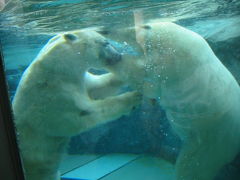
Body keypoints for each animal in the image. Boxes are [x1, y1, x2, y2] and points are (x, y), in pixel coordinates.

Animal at [12, 29, 142, 180]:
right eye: (106, 43)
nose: (119, 56)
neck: (58, 67)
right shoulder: (54, 95)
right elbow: (84, 113)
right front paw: (134, 97)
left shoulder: (78, 79)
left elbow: (99, 86)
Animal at [95, 21, 240, 179]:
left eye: (145, 26)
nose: (105, 29)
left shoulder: (175, 65)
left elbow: (140, 73)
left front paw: (110, 57)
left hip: (211, 143)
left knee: (190, 167)